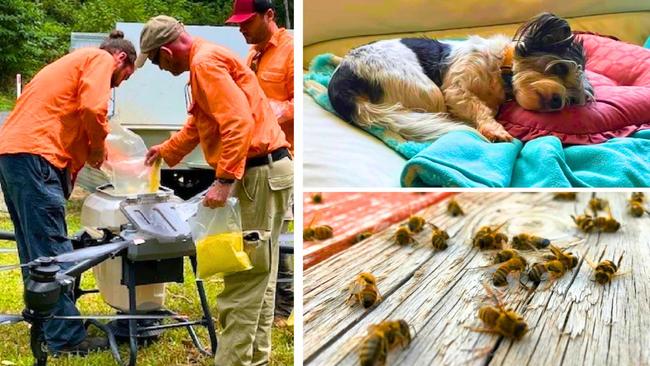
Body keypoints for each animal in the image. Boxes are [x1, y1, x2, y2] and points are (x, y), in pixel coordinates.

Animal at [326, 12, 596, 142]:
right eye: (559, 69)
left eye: (572, 100)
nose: (558, 101)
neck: (500, 71)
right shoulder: (456, 90)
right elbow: (480, 108)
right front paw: (494, 129)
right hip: (427, 90)